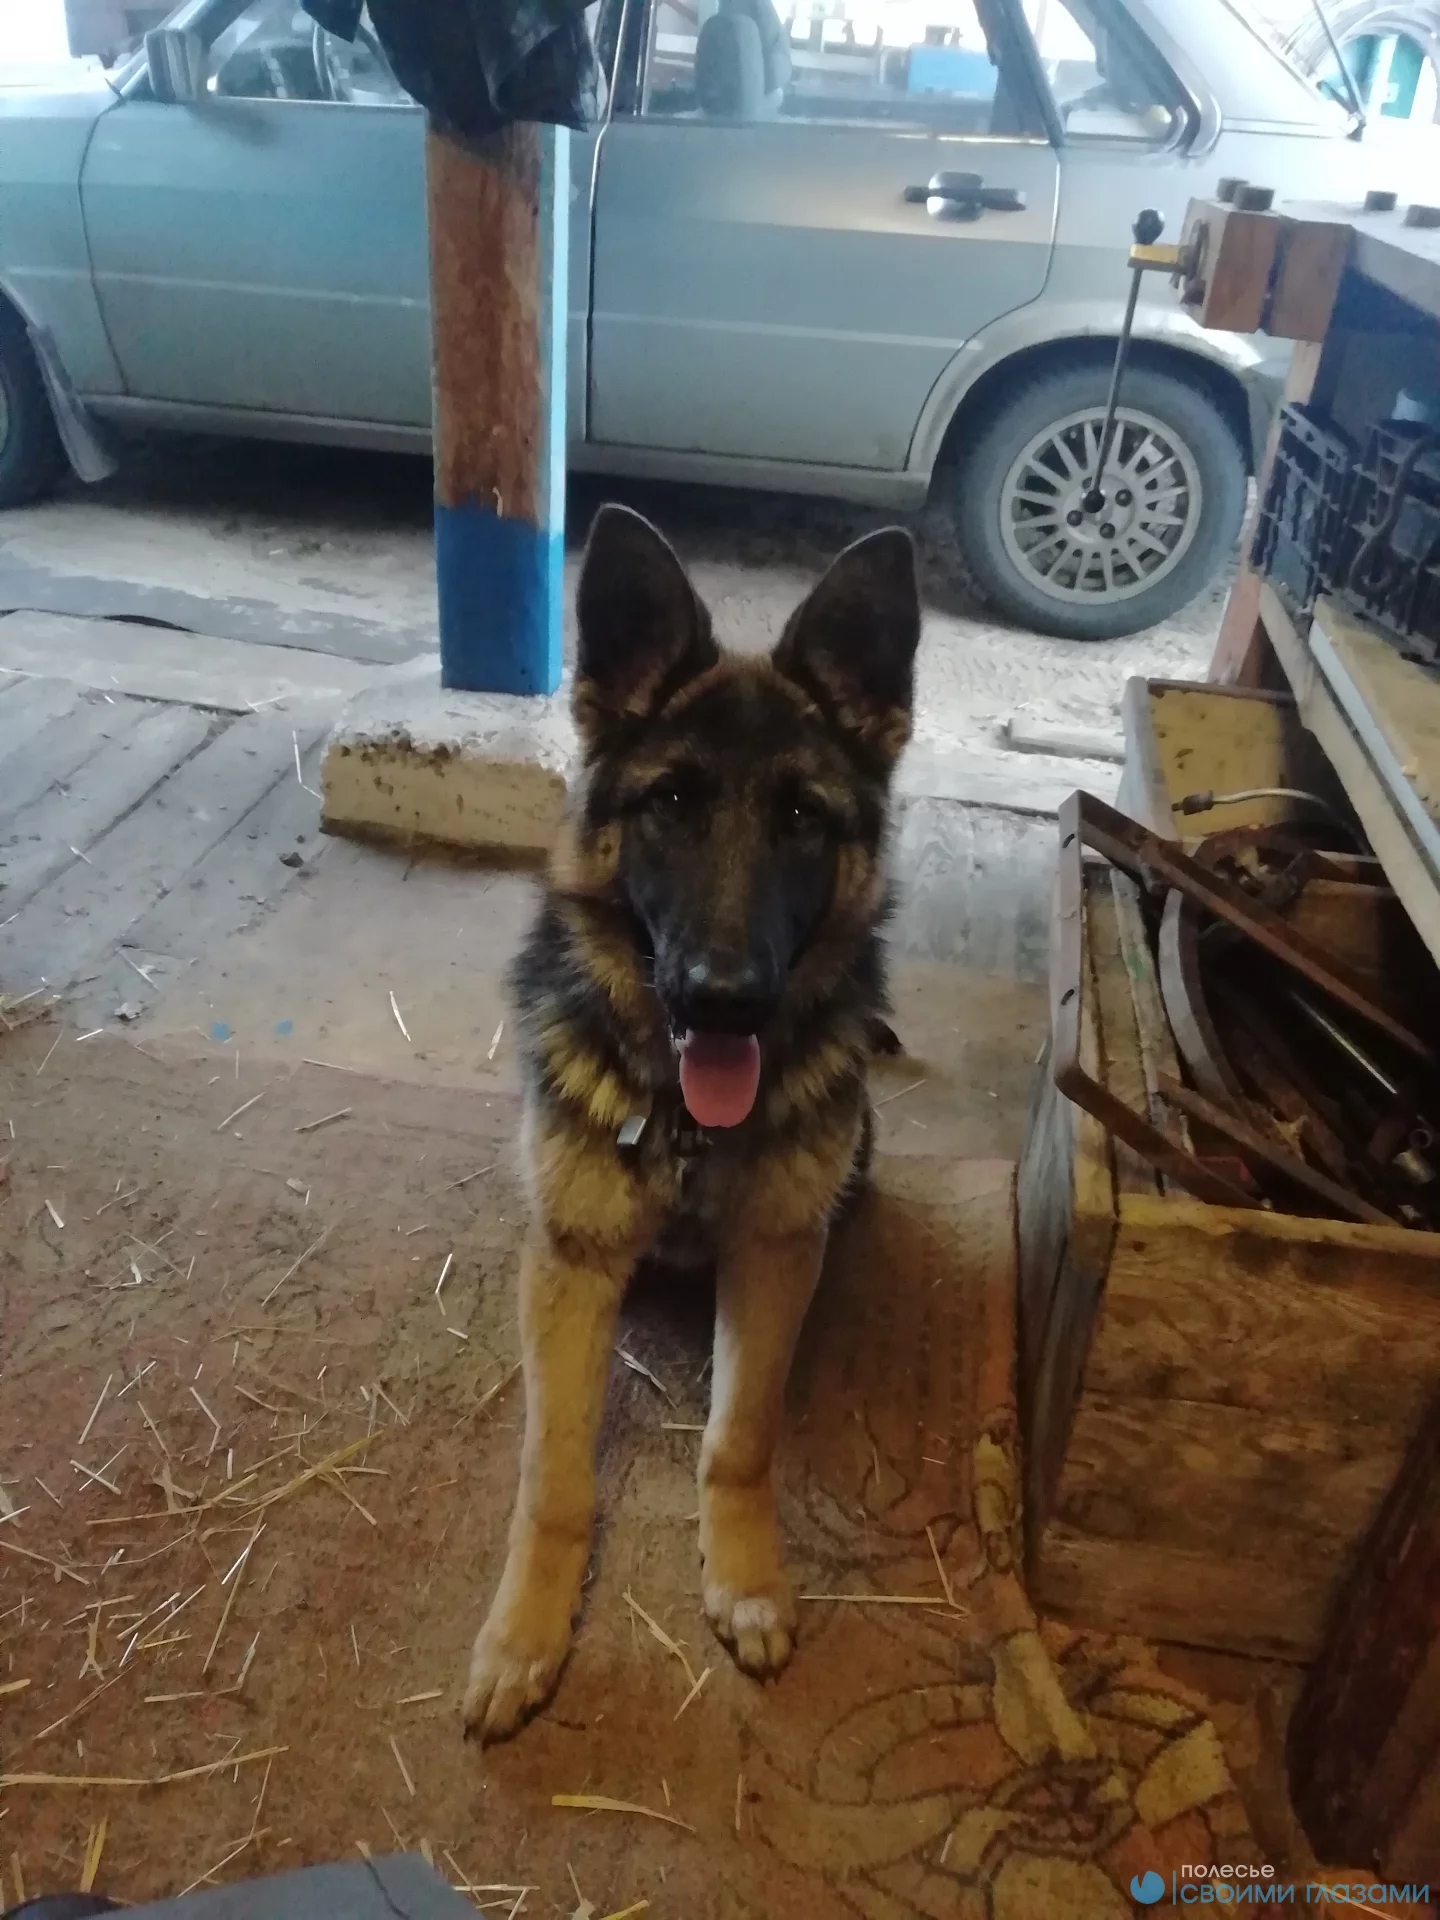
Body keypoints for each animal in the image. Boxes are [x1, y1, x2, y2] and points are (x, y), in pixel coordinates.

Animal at [462, 504, 920, 1742]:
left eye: (803, 817)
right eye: (671, 803)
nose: (725, 999)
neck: (683, 1119)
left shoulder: (773, 1255)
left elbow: (738, 1439)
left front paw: (747, 1578)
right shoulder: (569, 1268)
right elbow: (553, 1477)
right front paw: (523, 1635)